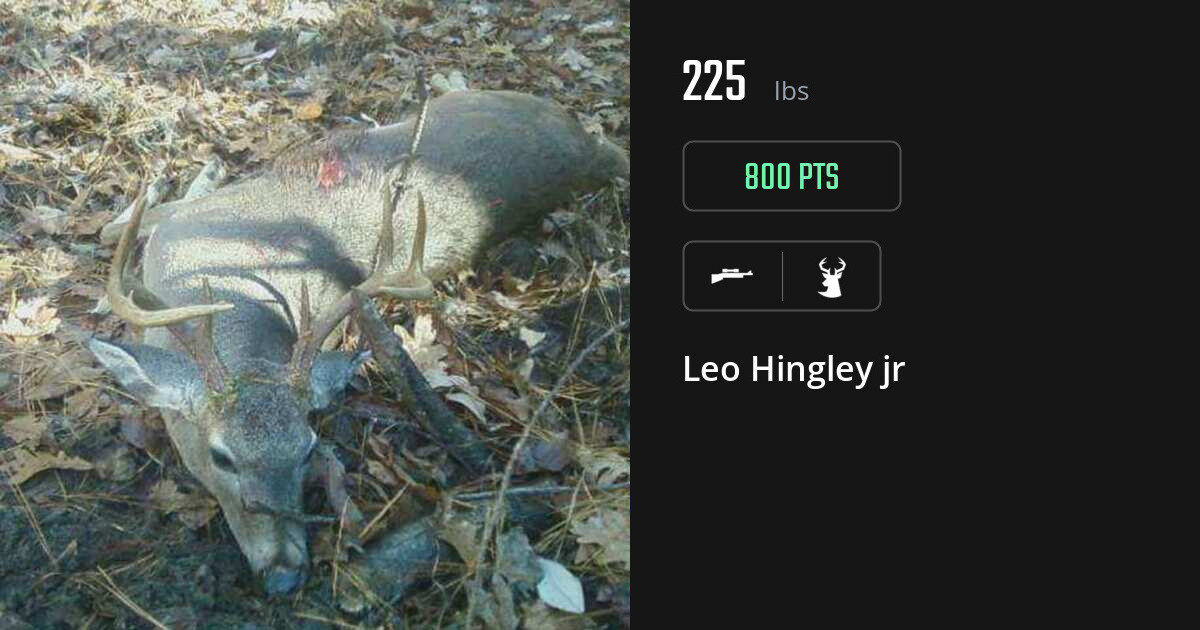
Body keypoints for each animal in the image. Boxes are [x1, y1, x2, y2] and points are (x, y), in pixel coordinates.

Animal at [86, 87, 628, 596]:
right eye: (221, 457)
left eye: (307, 449)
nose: (284, 575)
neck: (225, 285)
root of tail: (588, 146)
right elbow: (123, 226)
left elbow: (119, 224)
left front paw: (183, 173)